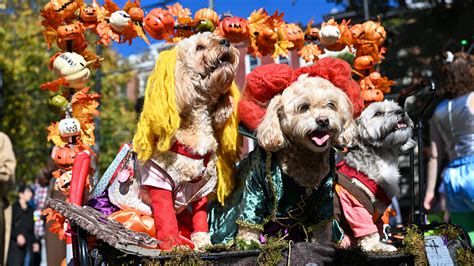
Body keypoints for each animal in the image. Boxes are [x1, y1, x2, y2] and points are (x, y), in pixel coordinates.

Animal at [336, 100, 414, 251]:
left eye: (396, 107)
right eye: (378, 113)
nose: (401, 111)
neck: (383, 156)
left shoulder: (378, 212)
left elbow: (378, 226)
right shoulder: (354, 202)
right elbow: (366, 227)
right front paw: (377, 245)